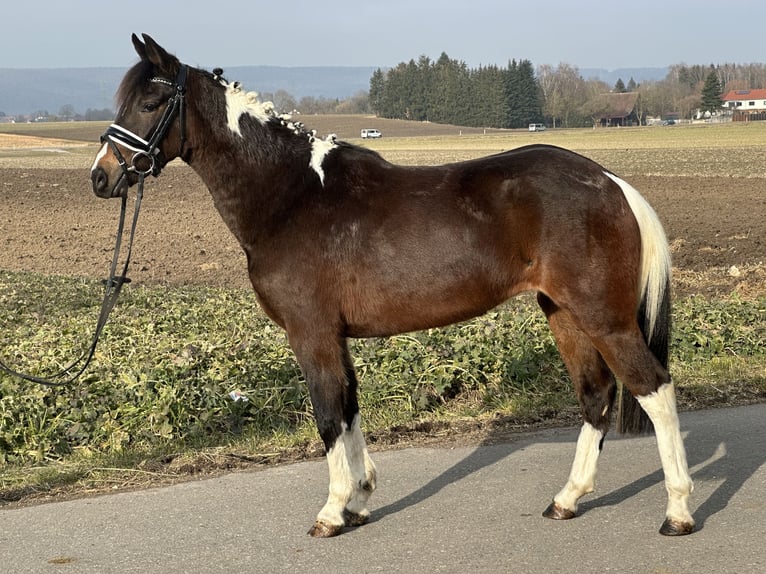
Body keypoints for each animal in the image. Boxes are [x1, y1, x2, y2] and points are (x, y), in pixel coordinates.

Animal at [88, 35, 696, 540]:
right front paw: (358, 501)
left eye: (150, 103)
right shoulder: (336, 337)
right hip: (564, 314)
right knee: (596, 396)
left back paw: (678, 511)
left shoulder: (311, 334)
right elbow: (349, 409)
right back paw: (567, 500)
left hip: (604, 318)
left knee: (655, 389)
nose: (101, 176)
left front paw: (332, 512)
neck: (292, 196)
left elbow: (328, 416)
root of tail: (611, 183)